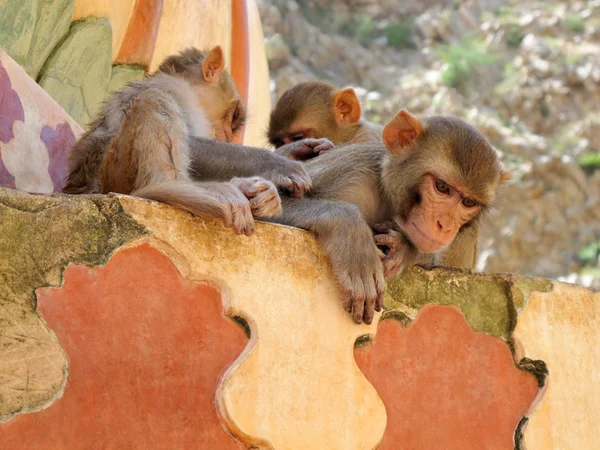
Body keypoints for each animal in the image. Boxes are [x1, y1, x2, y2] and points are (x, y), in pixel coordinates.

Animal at [63, 45, 312, 236]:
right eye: (233, 117)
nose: (228, 137)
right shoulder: (174, 88)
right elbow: (191, 144)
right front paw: (279, 163)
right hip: (113, 173)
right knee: (154, 101)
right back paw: (174, 188)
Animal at [270, 110, 508, 326]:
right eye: (442, 187)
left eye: (468, 202)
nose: (445, 226)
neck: (386, 195)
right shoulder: (351, 173)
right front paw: (353, 237)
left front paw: (404, 249)